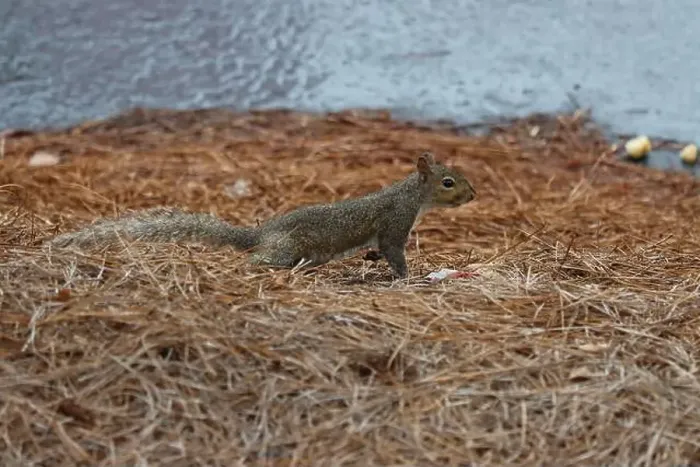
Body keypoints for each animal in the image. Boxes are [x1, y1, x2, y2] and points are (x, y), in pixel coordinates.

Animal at [47, 152, 476, 278]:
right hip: (284, 250)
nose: (473, 194)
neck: (410, 194)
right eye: (448, 182)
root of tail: (259, 235)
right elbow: (393, 252)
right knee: (257, 260)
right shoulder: (394, 223)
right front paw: (406, 277)